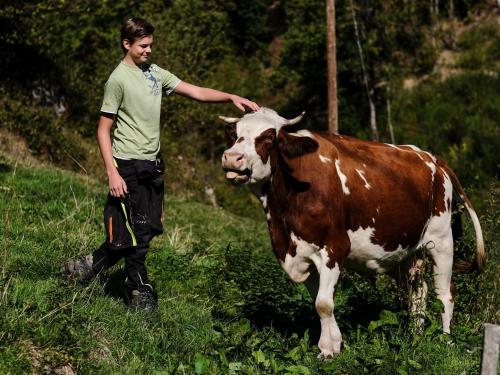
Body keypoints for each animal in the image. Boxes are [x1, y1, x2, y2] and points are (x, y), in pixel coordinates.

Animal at [220, 108, 484, 358]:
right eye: (234, 135)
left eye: (268, 137)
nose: (232, 157)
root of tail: (433, 158)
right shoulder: (302, 253)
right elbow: (319, 302)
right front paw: (331, 345)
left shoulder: (334, 248)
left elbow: (324, 304)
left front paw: (329, 349)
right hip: (406, 251)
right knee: (419, 292)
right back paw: (416, 337)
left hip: (441, 241)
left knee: (444, 293)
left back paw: (444, 339)